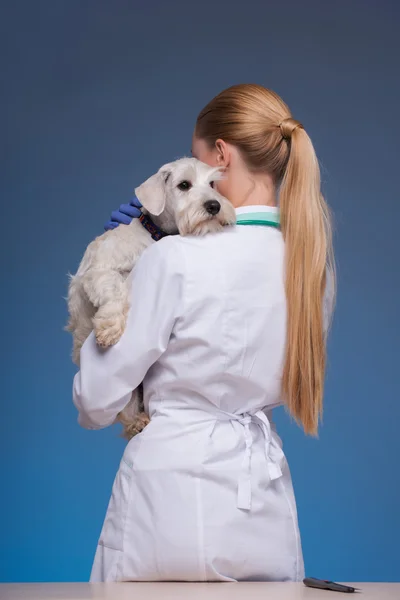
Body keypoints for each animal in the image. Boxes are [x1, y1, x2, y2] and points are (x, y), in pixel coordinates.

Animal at [67, 158, 236, 440]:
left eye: (213, 183)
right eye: (184, 185)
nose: (214, 205)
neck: (154, 234)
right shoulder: (100, 272)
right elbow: (115, 289)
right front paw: (109, 328)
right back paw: (137, 422)